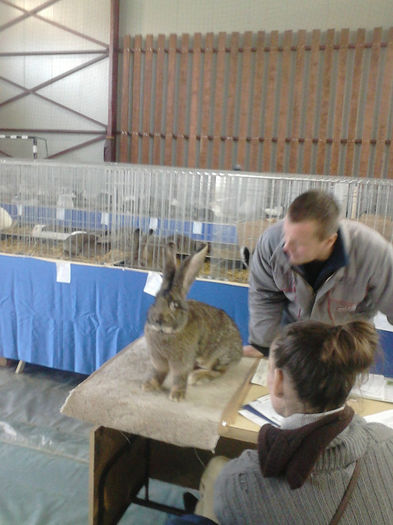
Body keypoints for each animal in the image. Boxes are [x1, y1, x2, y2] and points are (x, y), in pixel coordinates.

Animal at [142, 242, 242, 402]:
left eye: (174, 305)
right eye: (155, 300)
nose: (158, 320)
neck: (167, 333)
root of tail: (240, 352)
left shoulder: (182, 361)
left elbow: (180, 376)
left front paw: (177, 395)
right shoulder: (158, 360)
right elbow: (158, 372)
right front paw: (149, 385)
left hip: (217, 357)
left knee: (219, 371)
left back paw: (197, 377)